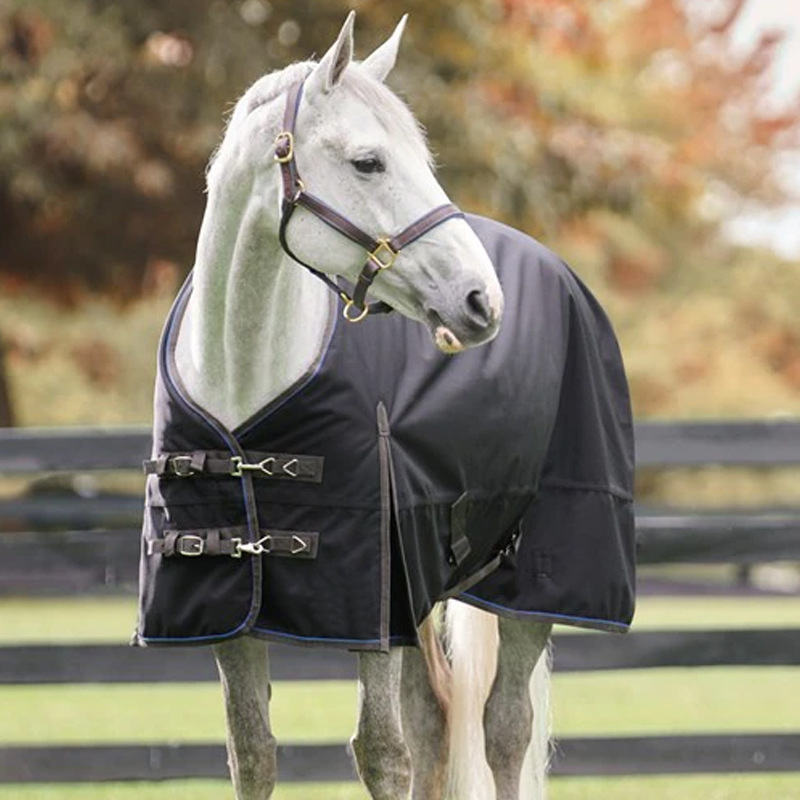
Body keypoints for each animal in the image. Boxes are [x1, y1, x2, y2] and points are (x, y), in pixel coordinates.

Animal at [136, 12, 636, 800]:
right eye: (368, 162)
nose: (481, 301)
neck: (246, 379)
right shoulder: (236, 613)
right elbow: (253, 751)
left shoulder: (370, 598)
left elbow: (381, 751)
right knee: (436, 719)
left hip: (527, 584)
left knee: (504, 730)